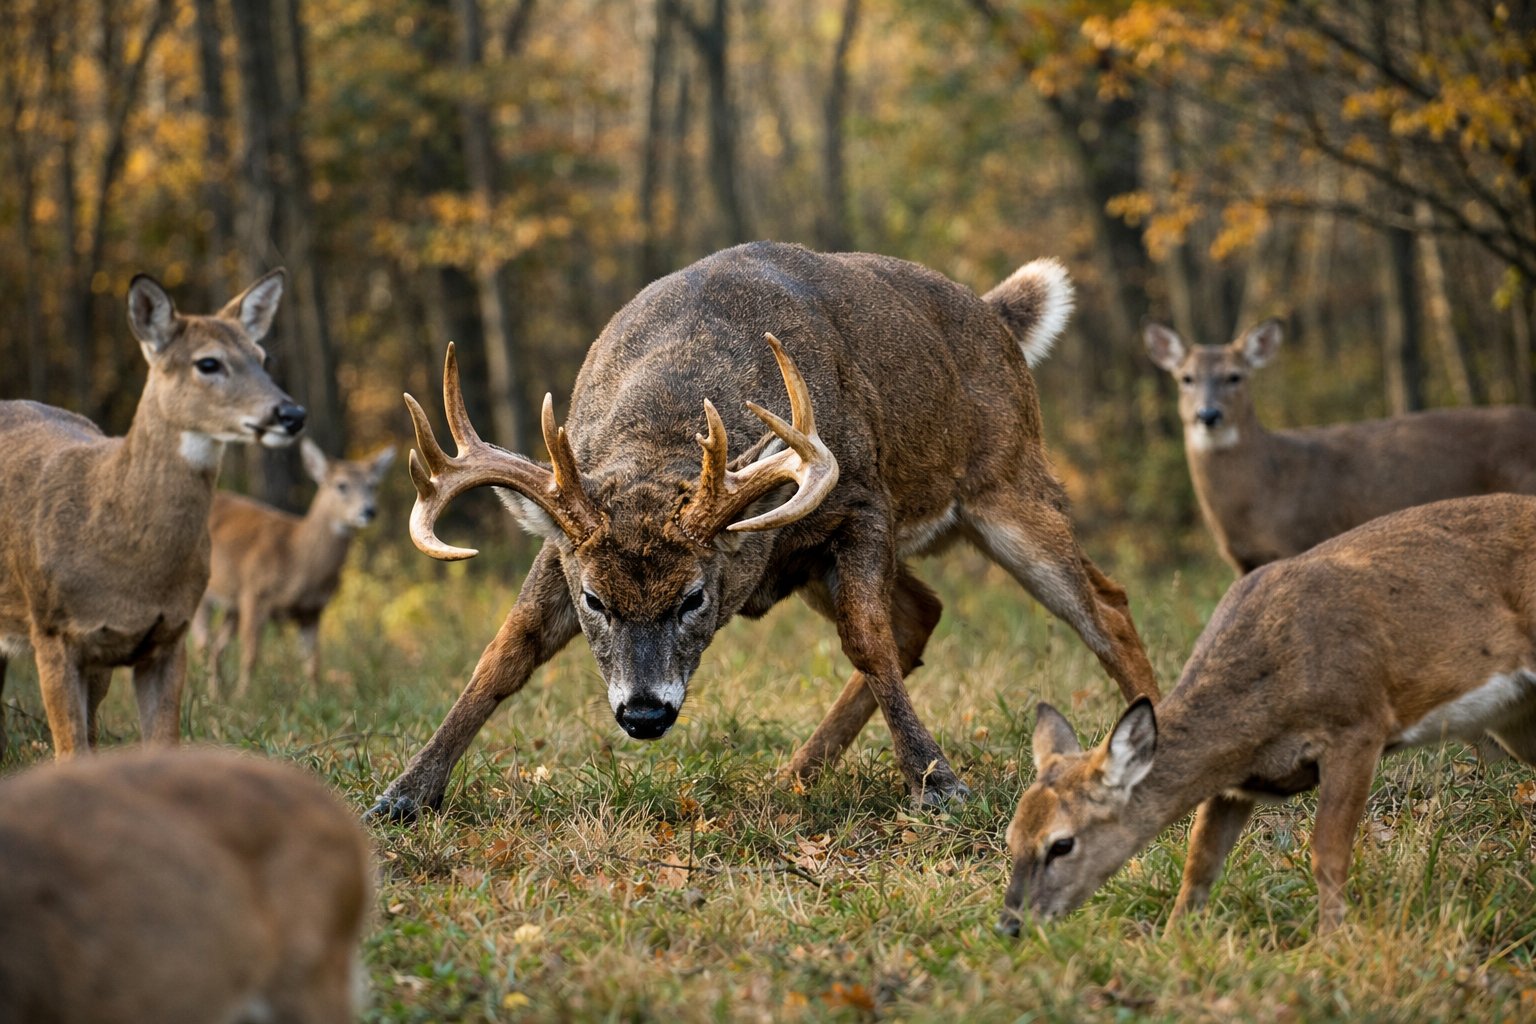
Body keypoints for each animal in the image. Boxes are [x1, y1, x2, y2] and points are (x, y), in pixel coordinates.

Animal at [0, 271, 304, 761]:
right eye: (208, 363)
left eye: (263, 357)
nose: (291, 414)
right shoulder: (52, 630)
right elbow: (71, 752)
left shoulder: (167, 635)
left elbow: (159, 744)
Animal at [193, 438, 396, 698]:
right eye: (341, 485)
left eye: (374, 485)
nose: (368, 511)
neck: (296, 558)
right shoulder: (255, 593)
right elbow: (251, 654)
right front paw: (243, 696)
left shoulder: (312, 610)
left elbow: (313, 662)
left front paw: (314, 698)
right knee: (203, 643)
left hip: (232, 606)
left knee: (217, 647)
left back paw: (216, 695)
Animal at [367, 240, 1160, 823]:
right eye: (595, 600)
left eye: (692, 597)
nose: (644, 713)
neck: (668, 421)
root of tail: (995, 315)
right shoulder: (563, 541)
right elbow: (505, 653)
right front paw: (403, 794)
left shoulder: (862, 501)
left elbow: (867, 640)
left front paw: (938, 784)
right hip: (809, 561)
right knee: (924, 612)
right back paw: (793, 775)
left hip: (1009, 481)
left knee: (1105, 606)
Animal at [999, 492, 1536, 937]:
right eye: (1012, 838)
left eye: (1061, 844)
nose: (1009, 925)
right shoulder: (1236, 780)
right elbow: (1200, 863)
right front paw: (1174, 942)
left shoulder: (1357, 725)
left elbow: (1327, 855)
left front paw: (1329, 944)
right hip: (1515, 719)